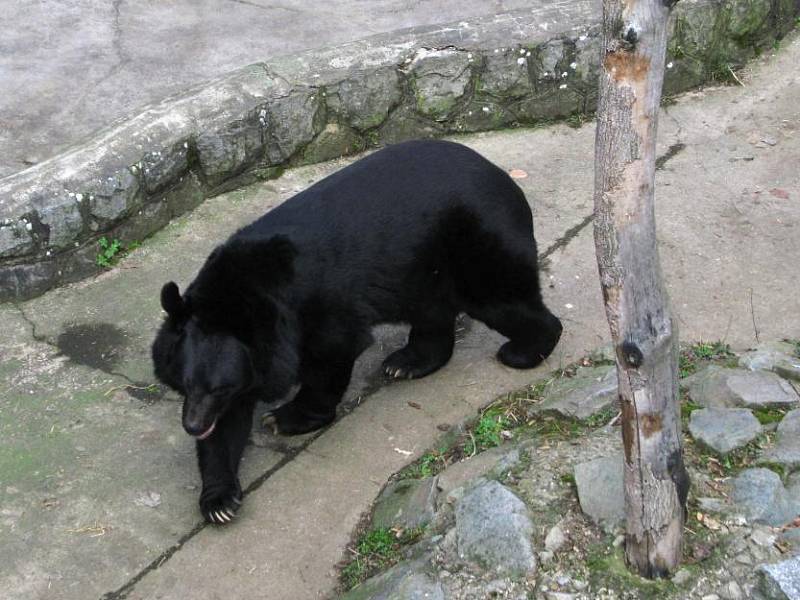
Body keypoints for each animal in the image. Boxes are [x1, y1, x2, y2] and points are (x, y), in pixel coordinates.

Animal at [152, 138, 564, 524]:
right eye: (185, 384)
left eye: (218, 388)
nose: (193, 425)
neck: (242, 294)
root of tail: (504, 178)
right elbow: (229, 425)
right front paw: (219, 500)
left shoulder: (315, 310)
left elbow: (330, 356)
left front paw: (285, 418)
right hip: (423, 267)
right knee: (433, 312)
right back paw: (407, 363)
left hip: (475, 244)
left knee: (500, 298)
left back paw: (523, 351)